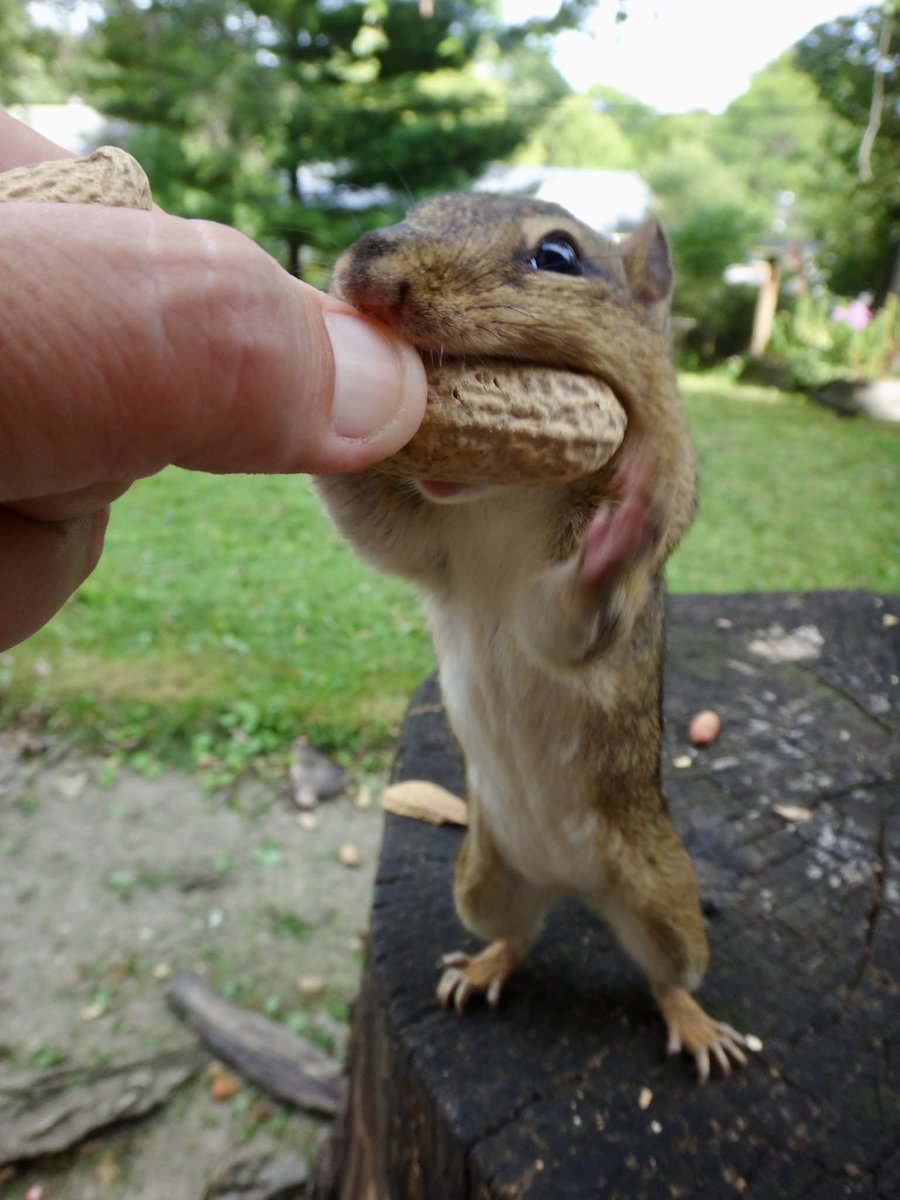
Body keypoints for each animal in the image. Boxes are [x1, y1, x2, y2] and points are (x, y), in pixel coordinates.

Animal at [315, 192, 749, 1083]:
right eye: (420, 209)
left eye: (558, 256)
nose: (366, 272)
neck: (502, 496)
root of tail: (568, 882)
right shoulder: (434, 548)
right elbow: (370, 524)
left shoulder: (587, 606)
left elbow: (568, 622)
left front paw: (622, 531)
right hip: (482, 881)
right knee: (516, 934)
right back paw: (484, 967)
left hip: (662, 898)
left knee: (667, 976)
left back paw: (697, 1026)